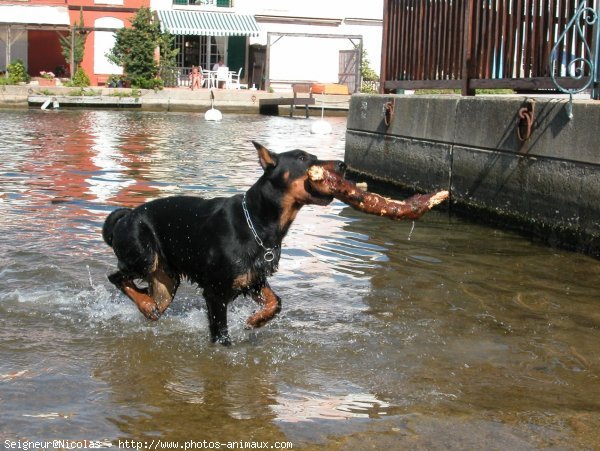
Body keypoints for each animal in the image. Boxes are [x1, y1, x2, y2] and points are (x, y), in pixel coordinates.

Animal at [103, 142, 346, 346]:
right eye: (302, 158)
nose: (342, 164)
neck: (258, 222)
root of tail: (125, 217)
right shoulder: (215, 292)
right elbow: (221, 335)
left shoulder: (253, 279)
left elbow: (276, 302)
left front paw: (254, 321)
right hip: (143, 256)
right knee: (116, 277)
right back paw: (145, 304)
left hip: (167, 280)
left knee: (151, 298)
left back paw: (148, 308)